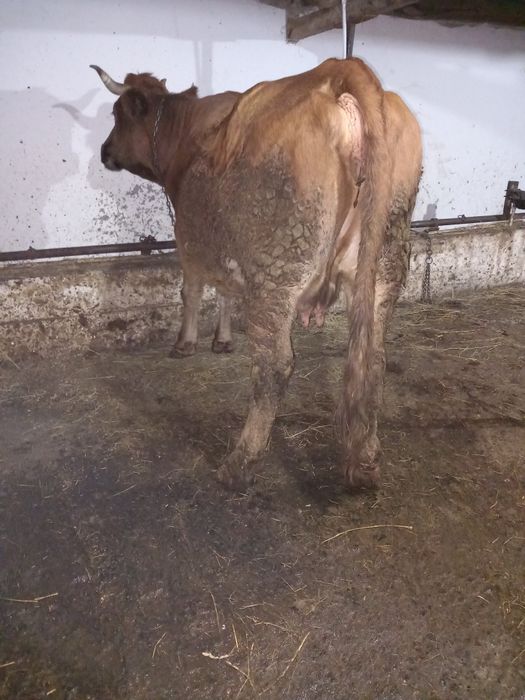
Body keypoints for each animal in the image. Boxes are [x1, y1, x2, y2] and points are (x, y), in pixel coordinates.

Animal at [91, 58, 422, 490]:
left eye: (118, 115)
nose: (104, 151)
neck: (185, 134)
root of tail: (337, 70)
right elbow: (226, 293)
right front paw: (223, 340)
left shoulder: (190, 240)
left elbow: (193, 291)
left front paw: (186, 343)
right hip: (384, 265)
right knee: (374, 357)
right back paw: (365, 458)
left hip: (276, 272)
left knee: (274, 366)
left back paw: (240, 463)